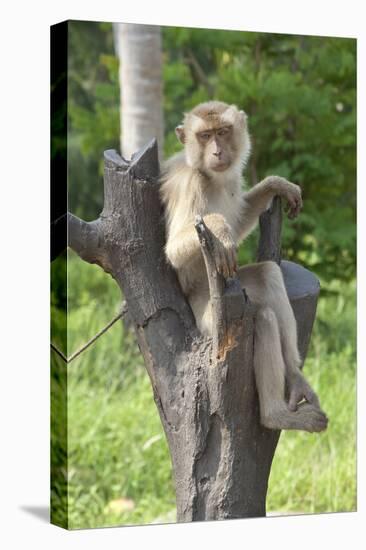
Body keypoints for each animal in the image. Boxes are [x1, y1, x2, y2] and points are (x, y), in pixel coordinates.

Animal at [159, 101, 328, 434]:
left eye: (223, 132)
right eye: (205, 135)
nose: (217, 151)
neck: (210, 177)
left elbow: (240, 223)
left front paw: (276, 184)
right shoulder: (192, 184)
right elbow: (174, 250)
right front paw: (220, 229)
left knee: (268, 274)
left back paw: (294, 376)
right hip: (210, 318)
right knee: (263, 318)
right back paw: (275, 415)